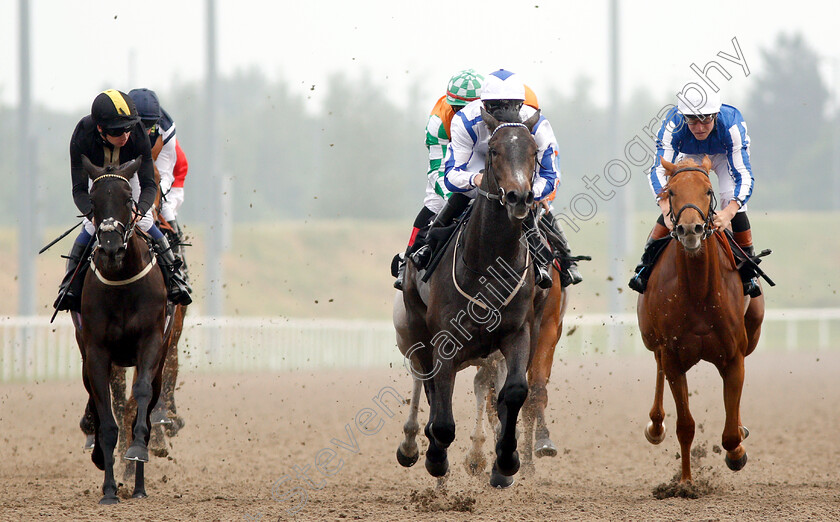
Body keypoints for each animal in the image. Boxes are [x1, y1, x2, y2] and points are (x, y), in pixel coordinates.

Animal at [78, 154, 170, 500]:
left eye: (128, 199)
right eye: (93, 201)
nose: (110, 248)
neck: (121, 281)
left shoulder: (151, 342)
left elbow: (140, 398)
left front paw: (138, 452)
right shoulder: (96, 352)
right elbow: (106, 416)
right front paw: (108, 491)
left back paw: (139, 484)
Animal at [396, 108, 552, 488]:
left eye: (534, 152)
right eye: (493, 151)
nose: (519, 198)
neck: (489, 263)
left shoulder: (518, 332)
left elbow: (513, 392)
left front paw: (506, 461)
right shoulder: (445, 338)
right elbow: (443, 415)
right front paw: (437, 458)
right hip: (417, 329)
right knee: (427, 382)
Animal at [640, 155, 764, 484]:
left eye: (708, 191)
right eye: (671, 192)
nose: (690, 229)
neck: (698, 290)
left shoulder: (733, 357)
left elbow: (730, 433)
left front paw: (737, 452)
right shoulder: (673, 357)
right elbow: (685, 425)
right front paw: (685, 482)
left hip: (753, 332)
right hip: (650, 337)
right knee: (657, 364)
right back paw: (655, 426)